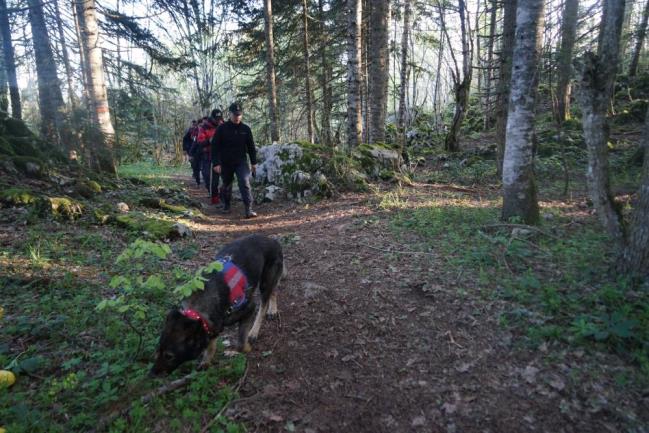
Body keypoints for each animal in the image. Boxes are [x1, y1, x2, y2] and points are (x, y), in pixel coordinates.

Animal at [152, 233, 286, 374]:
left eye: (169, 356)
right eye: (158, 349)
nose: (152, 373)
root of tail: (273, 241)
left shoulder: (249, 309)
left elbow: (240, 344)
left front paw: (243, 350)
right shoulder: (213, 325)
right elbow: (211, 343)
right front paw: (206, 361)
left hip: (265, 282)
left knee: (263, 305)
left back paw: (254, 331)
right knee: (274, 291)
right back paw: (273, 309)